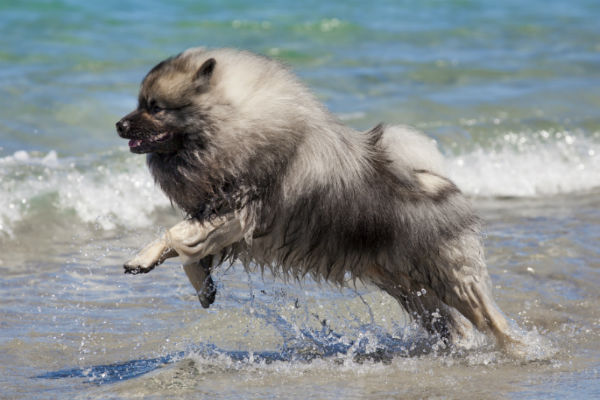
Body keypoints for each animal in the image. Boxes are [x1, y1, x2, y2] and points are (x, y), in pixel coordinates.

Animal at [116, 47, 520, 350]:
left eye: (155, 107)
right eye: (140, 103)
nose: (119, 125)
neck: (235, 122)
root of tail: (439, 182)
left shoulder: (240, 212)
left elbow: (176, 235)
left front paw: (141, 258)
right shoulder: (218, 217)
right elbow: (188, 250)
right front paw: (203, 288)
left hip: (450, 279)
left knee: (492, 320)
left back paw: (516, 351)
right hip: (411, 290)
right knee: (454, 326)